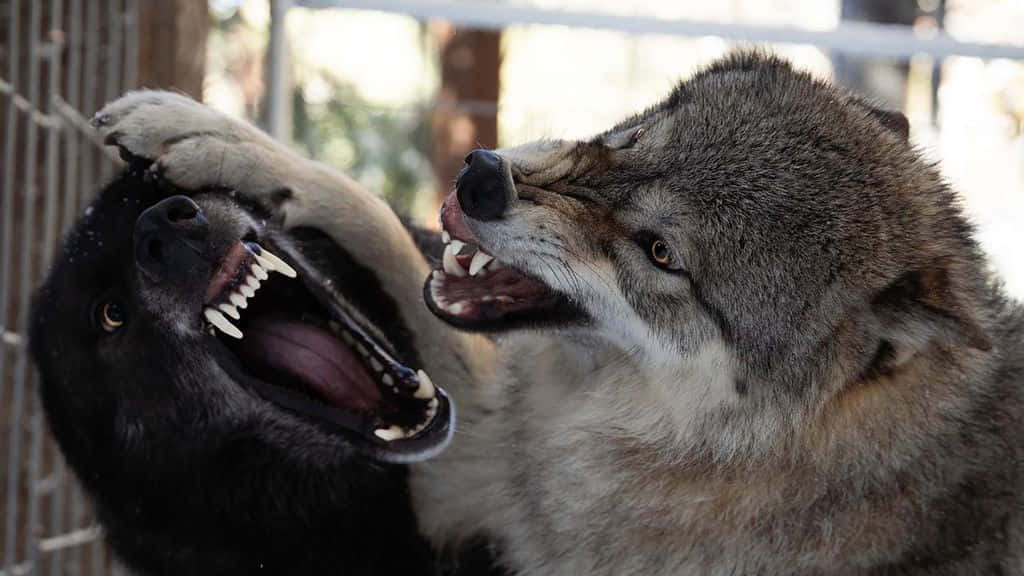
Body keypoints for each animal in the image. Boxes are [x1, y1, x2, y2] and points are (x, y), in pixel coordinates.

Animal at [40, 52, 1024, 574]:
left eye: (661, 254)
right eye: (628, 139)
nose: (479, 177)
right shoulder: (480, 470)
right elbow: (368, 210)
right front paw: (205, 133)